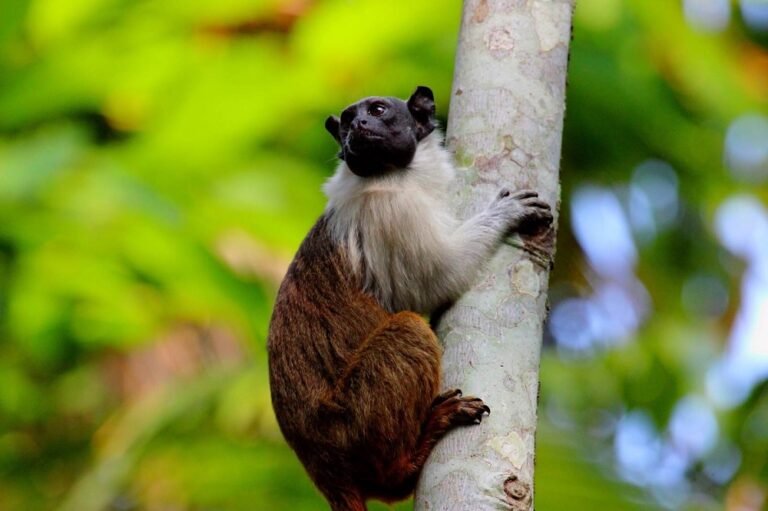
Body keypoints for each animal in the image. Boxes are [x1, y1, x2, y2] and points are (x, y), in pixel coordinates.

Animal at [270, 86, 552, 510]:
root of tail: (321, 465)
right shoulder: (391, 210)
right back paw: (410, 458)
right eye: (349, 120)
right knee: (408, 328)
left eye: (377, 111)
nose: (359, 126)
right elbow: (438, 279)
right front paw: (504, 214)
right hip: (347, 423)